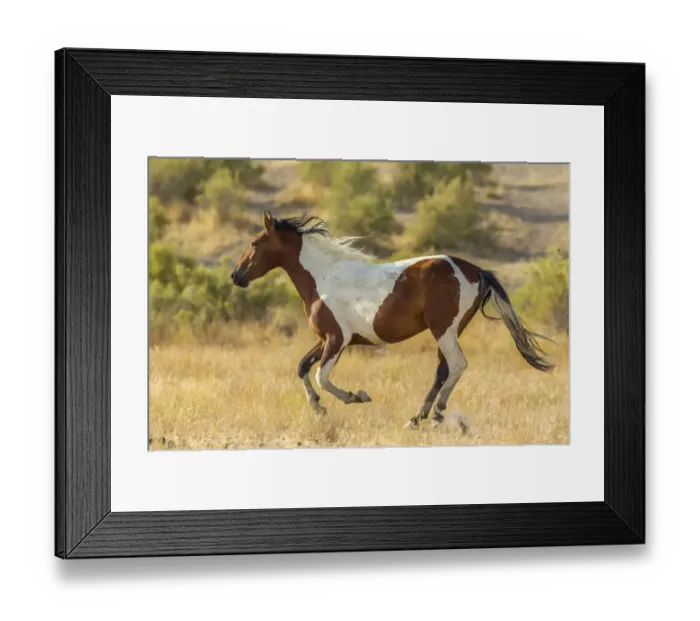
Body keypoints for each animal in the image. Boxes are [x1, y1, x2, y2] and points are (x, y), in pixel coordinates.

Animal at [232, 213, 553, 430]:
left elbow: (323, 376)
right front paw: (318, 408)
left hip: (444, 330)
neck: (322, 277)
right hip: (449, 331)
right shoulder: (326, 339)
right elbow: (302, 367)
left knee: (457, 365)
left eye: (254, 242)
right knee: (443, 369)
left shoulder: (337, 339)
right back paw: (418, 418)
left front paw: (357, 396)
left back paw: (436, 413)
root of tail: (475, 270)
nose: (236, 276)